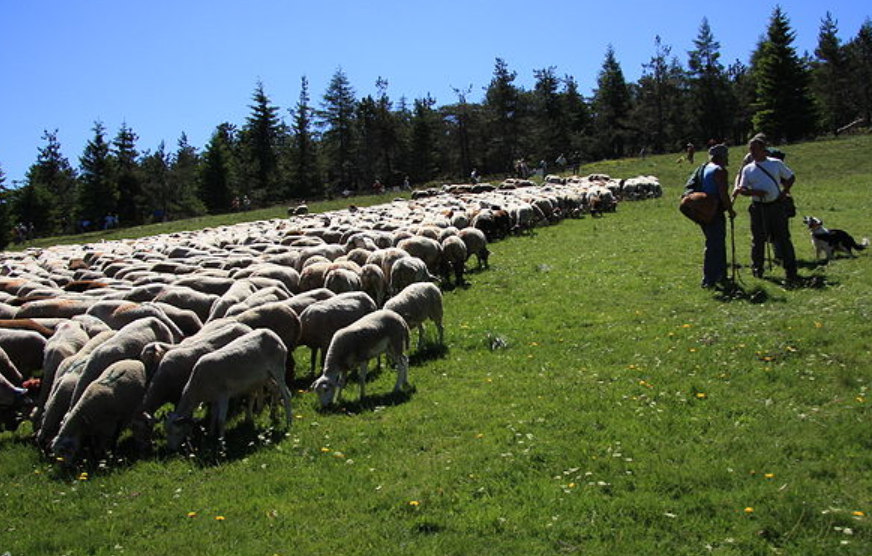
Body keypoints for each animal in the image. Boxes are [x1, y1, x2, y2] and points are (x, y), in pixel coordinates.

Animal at [165, 328, 294, 450]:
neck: (198, 388)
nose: (171, 449)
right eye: (167, 432)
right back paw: (273, 415)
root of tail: (274, 335)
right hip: (265, 376)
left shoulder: (223, 395)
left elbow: (221, 420)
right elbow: (213, 416)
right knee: (276, 389)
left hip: (278, 368)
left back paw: (288, 422)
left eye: (177, 432)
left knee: (286, 394)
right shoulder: (214, 398)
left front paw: (222, 443)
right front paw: (211, 435)